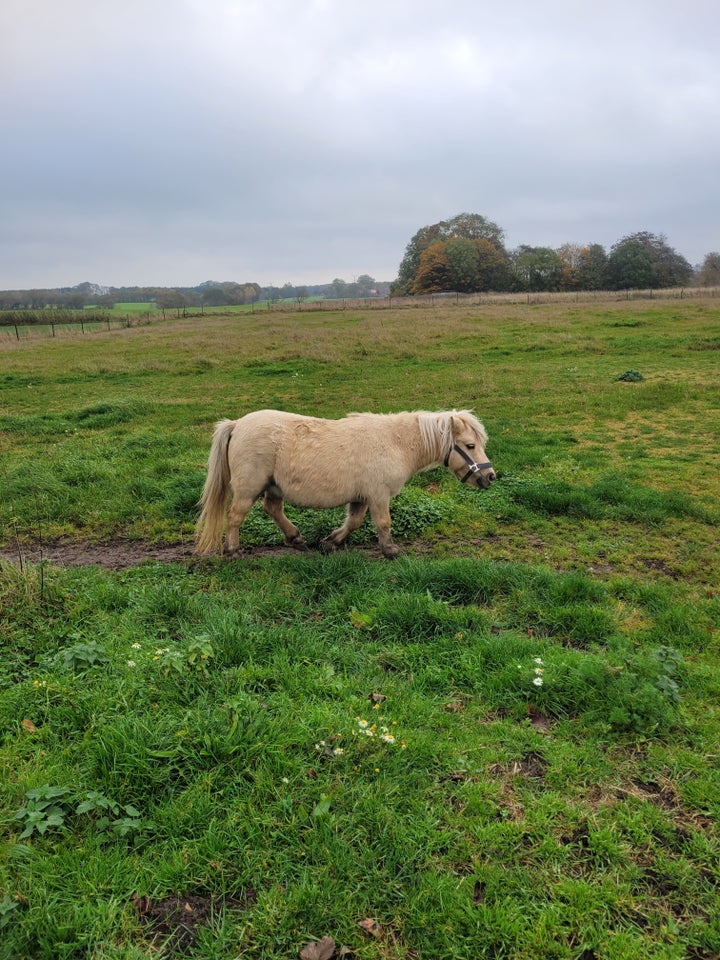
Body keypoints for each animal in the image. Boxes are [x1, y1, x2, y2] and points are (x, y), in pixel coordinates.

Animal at [194, 408, 492, 560]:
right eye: (470, 445)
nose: (490, 476)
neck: (395, 442)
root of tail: (237, 424)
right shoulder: (379, 495)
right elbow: (383, 523)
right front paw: (390, 550)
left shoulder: (361, 496)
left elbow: (354, 522)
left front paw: (331, 542)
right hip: (249, 488)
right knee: (235, 516)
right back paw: (233, 550)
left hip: (273, 487)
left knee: (273, 509)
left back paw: (296, 539)